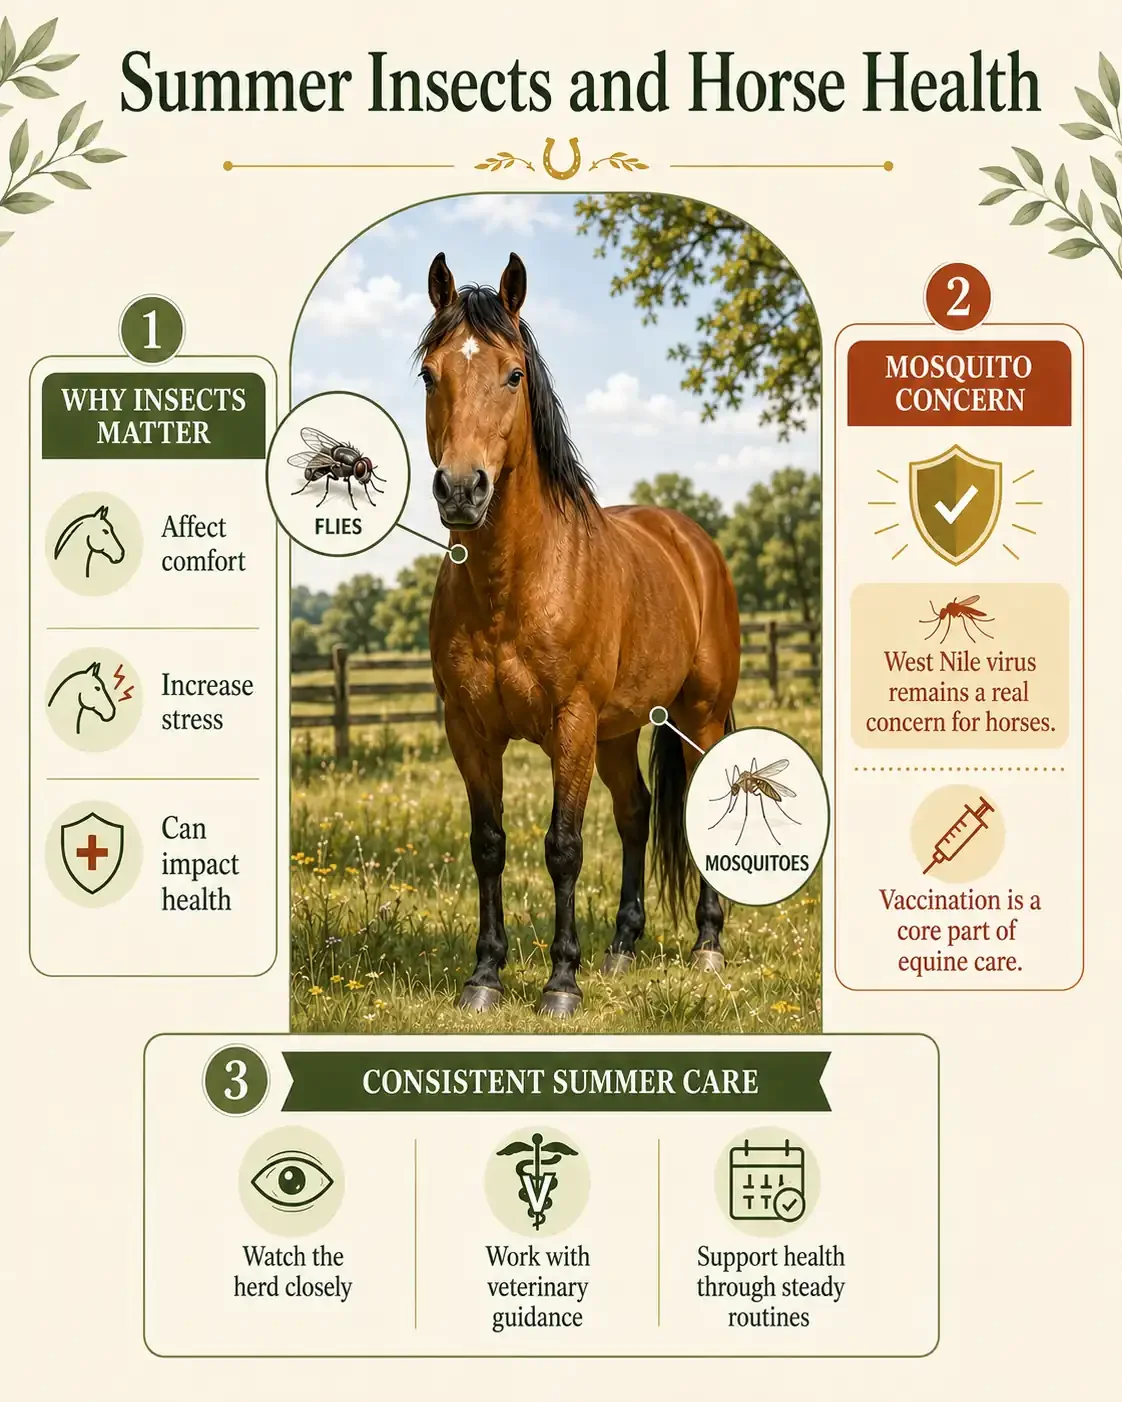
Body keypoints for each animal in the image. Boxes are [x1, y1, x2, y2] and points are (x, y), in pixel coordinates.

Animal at [420, 251, 741, 1017]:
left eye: (513, 374)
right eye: (429, 374)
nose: (462, 489)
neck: (513, 587)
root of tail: (692, 542)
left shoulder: (570, 724)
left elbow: (562, 846)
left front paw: (561, 983)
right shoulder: (468, 730)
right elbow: (488, 843)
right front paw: (485, 977)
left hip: (698, 715)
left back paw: (707, 945)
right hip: (620, 731)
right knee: (635, 814)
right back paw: (623, 948)